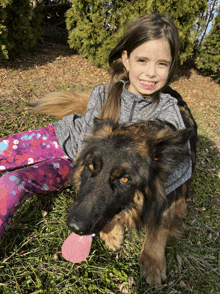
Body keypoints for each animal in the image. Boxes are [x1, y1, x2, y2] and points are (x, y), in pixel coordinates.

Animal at [30, 86, 196, 286]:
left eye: (124, 180)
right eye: (91, 166)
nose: (75, 227)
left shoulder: (175, 194)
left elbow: (160, 225)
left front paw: (153, 261)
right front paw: (111, 232)